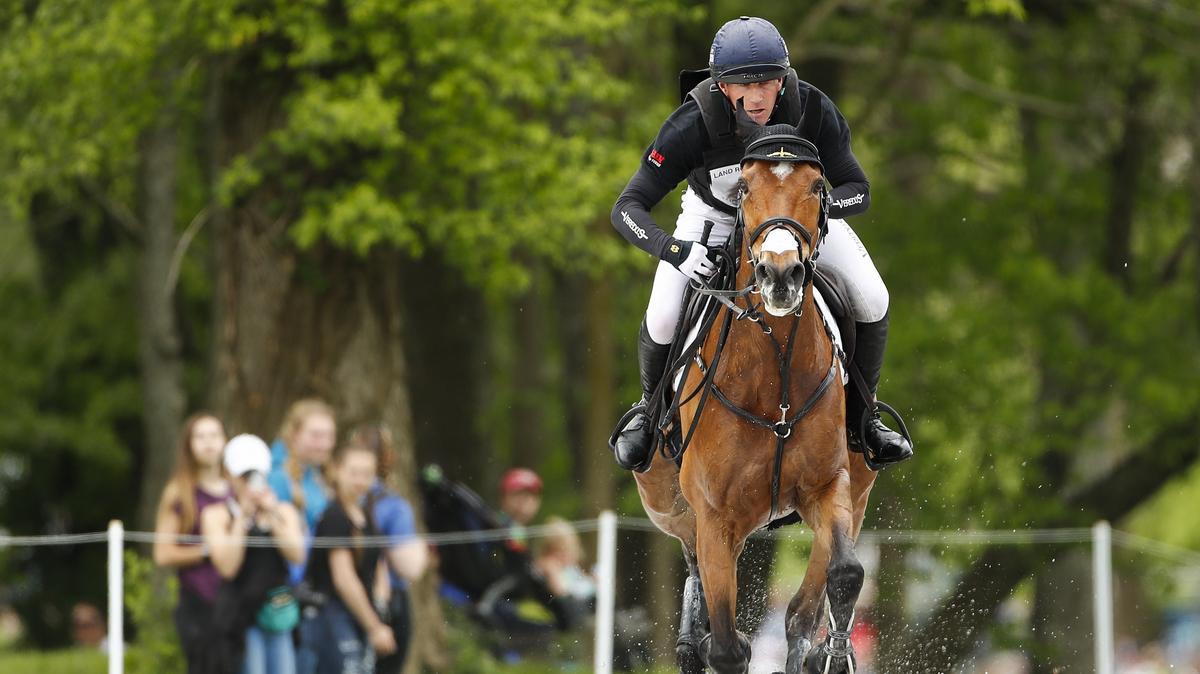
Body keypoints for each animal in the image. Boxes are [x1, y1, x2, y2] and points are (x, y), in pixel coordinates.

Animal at [633, 116, 878, 674]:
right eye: (743, 188)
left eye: (817, 186)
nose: (780, 274)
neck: (775, 372)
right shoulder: (715, 516)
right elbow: (726, 647)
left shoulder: (829, 488)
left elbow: (840, 578)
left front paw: (832, 655)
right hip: (669, 504)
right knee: (693, 564)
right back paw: (689, 639)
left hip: (855, 492)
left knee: (803, 611)